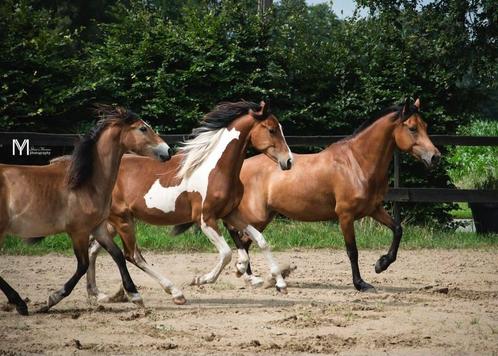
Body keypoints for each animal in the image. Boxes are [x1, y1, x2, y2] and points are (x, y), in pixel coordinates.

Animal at [0, 106, 171, 314]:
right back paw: (20, 304)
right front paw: (52, 299)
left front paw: (135, 296)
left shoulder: (97, 227)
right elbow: (83, 265)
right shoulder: (78, 232)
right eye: (143, 129)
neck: (87, 184)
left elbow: (117, 255)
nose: (168, 151)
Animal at [86, 99, 294, 304]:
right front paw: (200, 279)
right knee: (132, 255)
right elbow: (226, 253)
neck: (216, 169)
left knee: (94, 249)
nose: (289, 161)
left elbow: (261, 240)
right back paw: (174, 292)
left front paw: (280, 284)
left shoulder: (230, 213)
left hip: (114, 221)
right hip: (122, 221)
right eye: (271, 130)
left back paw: (98, 294)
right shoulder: (205, 219)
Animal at [226, 98, 440, 292]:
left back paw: (252, 276)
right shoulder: (345, 215)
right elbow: (352, 251)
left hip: (266, 216)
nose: (435, 157)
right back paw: (248, 274)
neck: (357, 163)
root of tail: (241, 167)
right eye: (412, 128)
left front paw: (381, 264)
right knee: (238, 233)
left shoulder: (374, 209)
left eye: (425, 126)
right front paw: (361, 284)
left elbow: (398, 229)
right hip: (257, 215)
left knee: (246, 240)